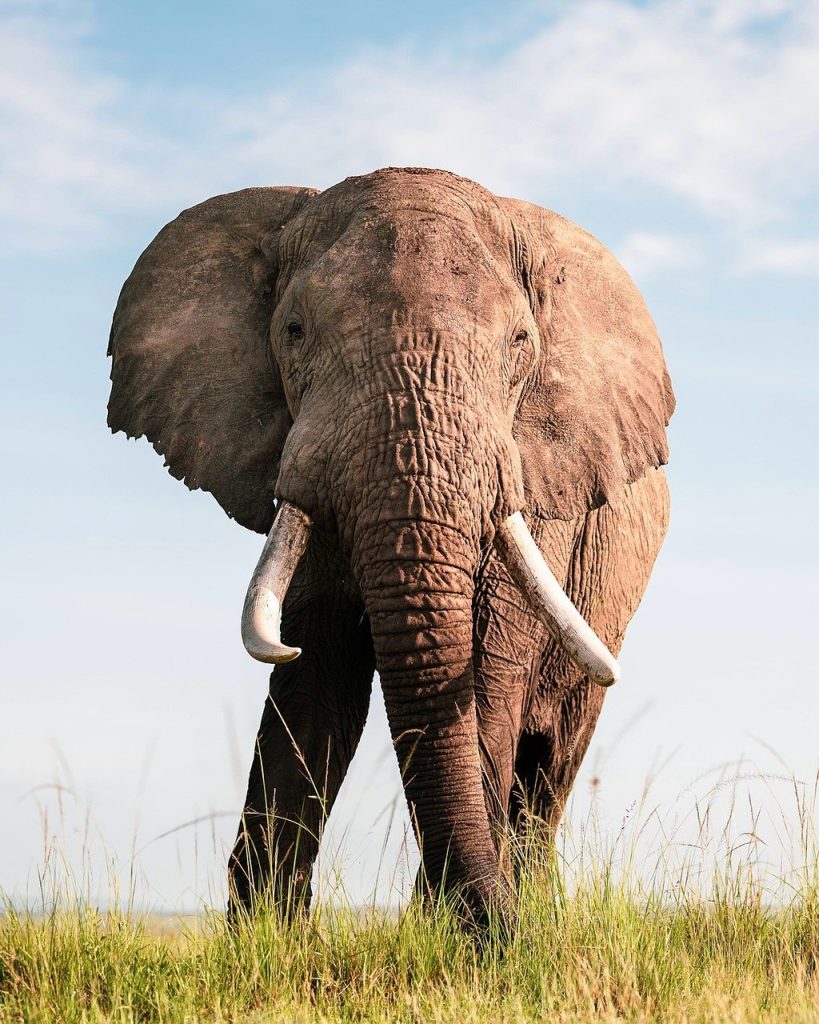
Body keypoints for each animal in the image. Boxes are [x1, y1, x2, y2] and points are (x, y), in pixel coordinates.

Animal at [107, 167, 674, 927]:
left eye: (520, 341)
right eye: (293, 331)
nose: (490, 927)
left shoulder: (542, 481)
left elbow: (480, 670)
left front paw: (457, 930)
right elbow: (317, 674)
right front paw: (266, 935)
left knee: (552, 760)